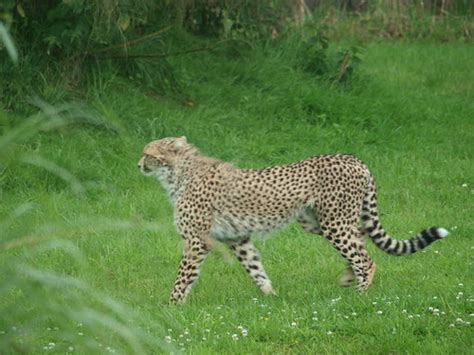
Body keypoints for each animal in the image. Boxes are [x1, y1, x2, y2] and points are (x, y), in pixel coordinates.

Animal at [136, 138, 448, 304]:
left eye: (148, 154)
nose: (137, 164)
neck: (178, 172)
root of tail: (353, 158)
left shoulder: (196, 240)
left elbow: (183, 277)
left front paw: (171, 306)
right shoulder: (238, 238)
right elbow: (255, 267)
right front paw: (270, 296)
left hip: (334, 222)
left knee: (365, 257)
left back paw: (360, 294)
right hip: (320, 222)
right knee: (361, 237)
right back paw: (348, 276)